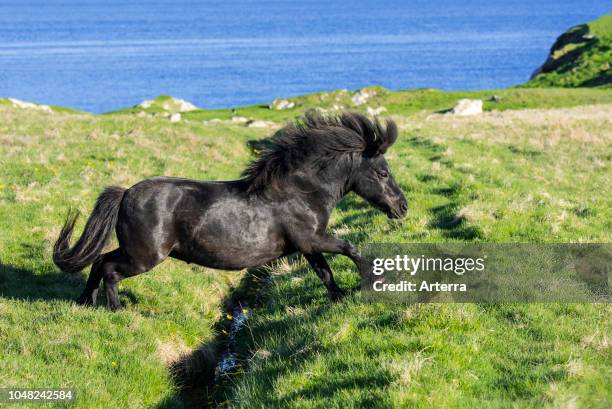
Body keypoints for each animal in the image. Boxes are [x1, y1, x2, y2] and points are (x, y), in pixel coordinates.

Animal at [52, 111, 406, 310]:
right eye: (382, 172)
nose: (402, 207)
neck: (300, 192)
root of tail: (126, 193)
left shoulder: (307, 245)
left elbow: (325, 272)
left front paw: (339, 298)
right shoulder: (312, 238)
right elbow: (349, 248)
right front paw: (372, 281)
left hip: (133, 250)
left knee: (100, 261)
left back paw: (86, 302)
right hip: (144, 256)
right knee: (110, 270)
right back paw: (115, 310)